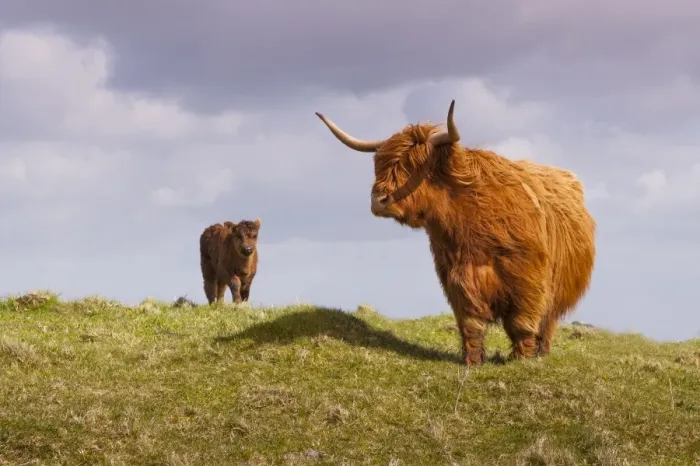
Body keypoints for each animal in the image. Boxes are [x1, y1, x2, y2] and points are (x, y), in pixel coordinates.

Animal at [315, 100, 596, 366]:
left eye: (414, 164)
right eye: (378, 164)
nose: (378, 201)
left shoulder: (528, 278)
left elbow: (522, 323)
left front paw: (521, 359)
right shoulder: (457, 277)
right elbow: (471, 324)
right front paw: (472, 361)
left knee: (547, 322)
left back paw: (541, 353)